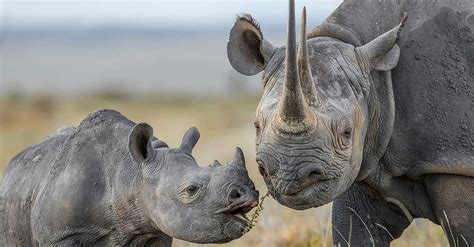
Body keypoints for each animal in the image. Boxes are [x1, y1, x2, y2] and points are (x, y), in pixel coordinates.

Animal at [227, 0, 474, 244]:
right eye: (257, 126)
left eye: (347, 132)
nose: (288, 176)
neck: (378, 80)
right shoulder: (361, 162)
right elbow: (352, 230)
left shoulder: (452, 161)